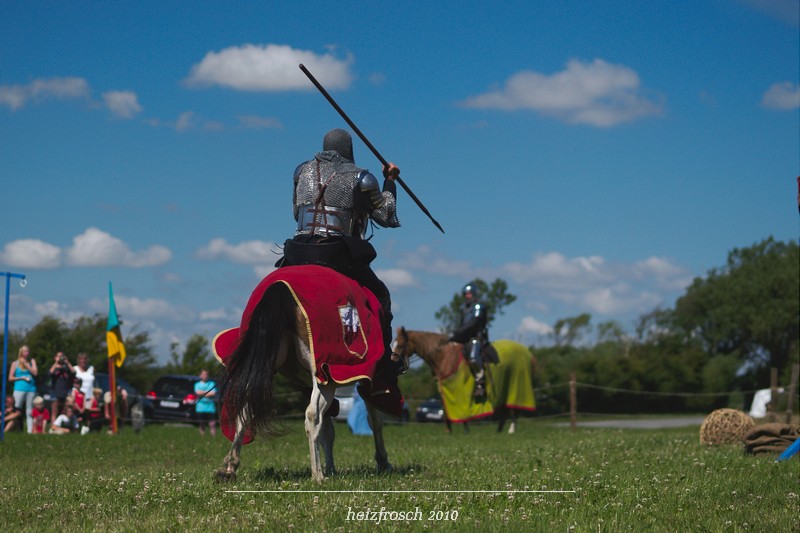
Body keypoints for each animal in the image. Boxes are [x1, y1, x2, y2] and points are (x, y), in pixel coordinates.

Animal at [213, 265, 407, 483]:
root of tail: (280, 288)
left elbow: (328, 430)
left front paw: (332, 467)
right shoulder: (360, 380)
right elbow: (375, 422)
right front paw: (383, 461)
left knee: (244, 409)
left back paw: (229, 468)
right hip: (325, 378)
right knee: (312, 416)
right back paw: (318, 475)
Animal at [393, 327, 536, 434]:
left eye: (400, 344)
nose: (393, 362)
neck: (444, 357)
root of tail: (527, 352)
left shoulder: (457, 389)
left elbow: (460, 409)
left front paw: (464, 429)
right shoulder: (443, 389)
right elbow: (446, 409)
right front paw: (448, 430)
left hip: (517, 386)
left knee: (514, 409)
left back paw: (511, 430)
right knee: (506, 410)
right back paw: (500, 430)